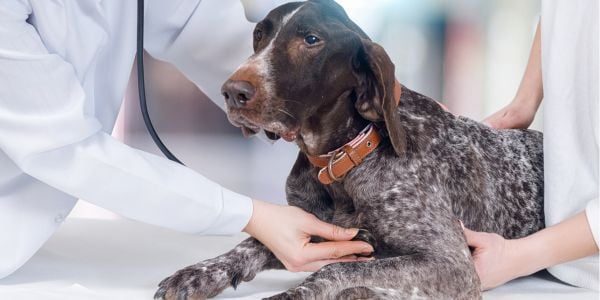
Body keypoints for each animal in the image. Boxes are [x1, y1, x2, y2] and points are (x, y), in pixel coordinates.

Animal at [154, 1, 544, 298]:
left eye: (312, 40)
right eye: (259, 35)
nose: (233, 92)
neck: (340, 160)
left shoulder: (451, 263)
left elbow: (339, 271)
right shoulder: (309, 228)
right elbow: (250, 245)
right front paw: (200, 273)